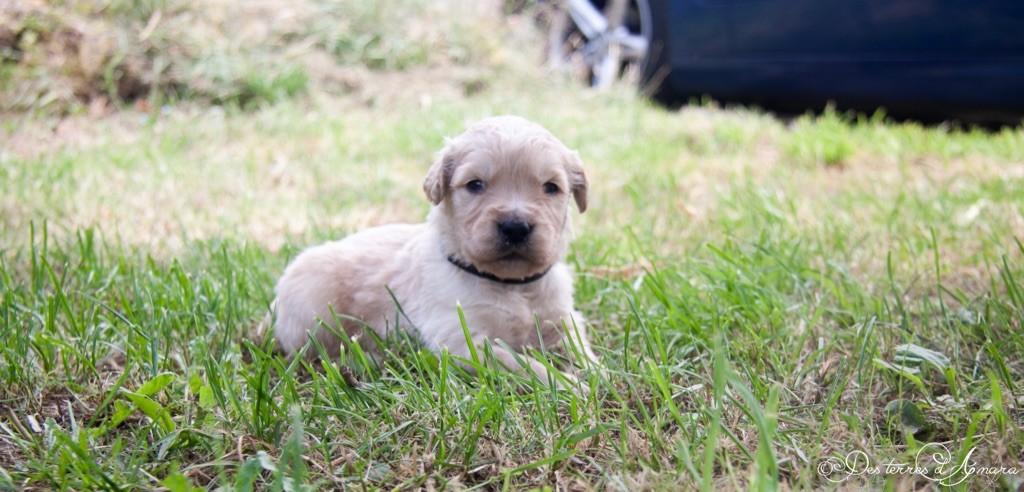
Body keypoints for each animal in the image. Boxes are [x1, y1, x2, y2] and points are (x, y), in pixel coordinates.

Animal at [271, 115, 598, 385]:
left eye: (551, 187)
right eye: (475, 184)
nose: (515, 227)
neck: (512, 284)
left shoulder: (563, 318)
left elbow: (581, 349)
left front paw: (598, 374)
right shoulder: (462, 340)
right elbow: (523, 364)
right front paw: (571, 386)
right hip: (313, 311)